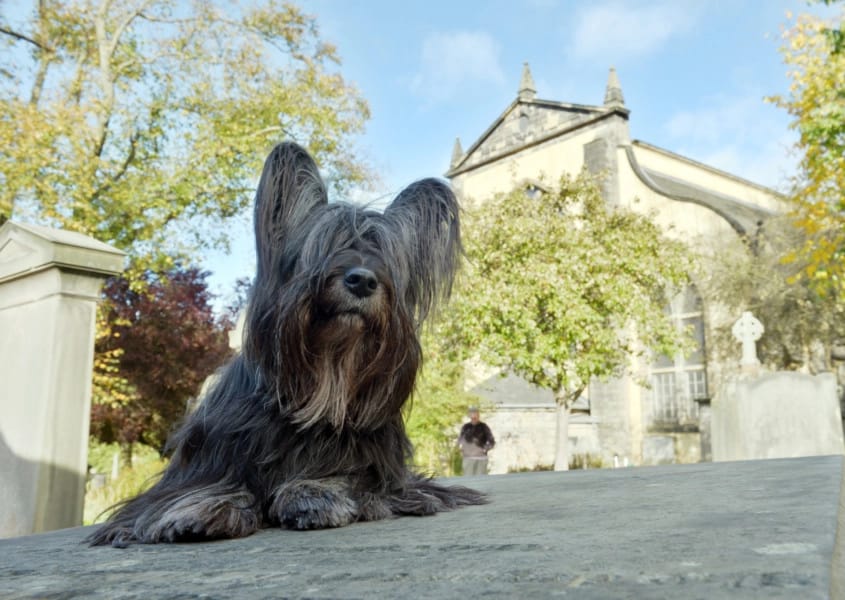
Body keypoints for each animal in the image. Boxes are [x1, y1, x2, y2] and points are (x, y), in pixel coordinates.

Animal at [88, 143, 484, 548]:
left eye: (385, 256)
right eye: (324, 244)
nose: (361, 280)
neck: (326, 375)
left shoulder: (382, 472)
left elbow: (354, 480)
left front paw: (312, 493)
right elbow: (196, 488)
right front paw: (201, 508)